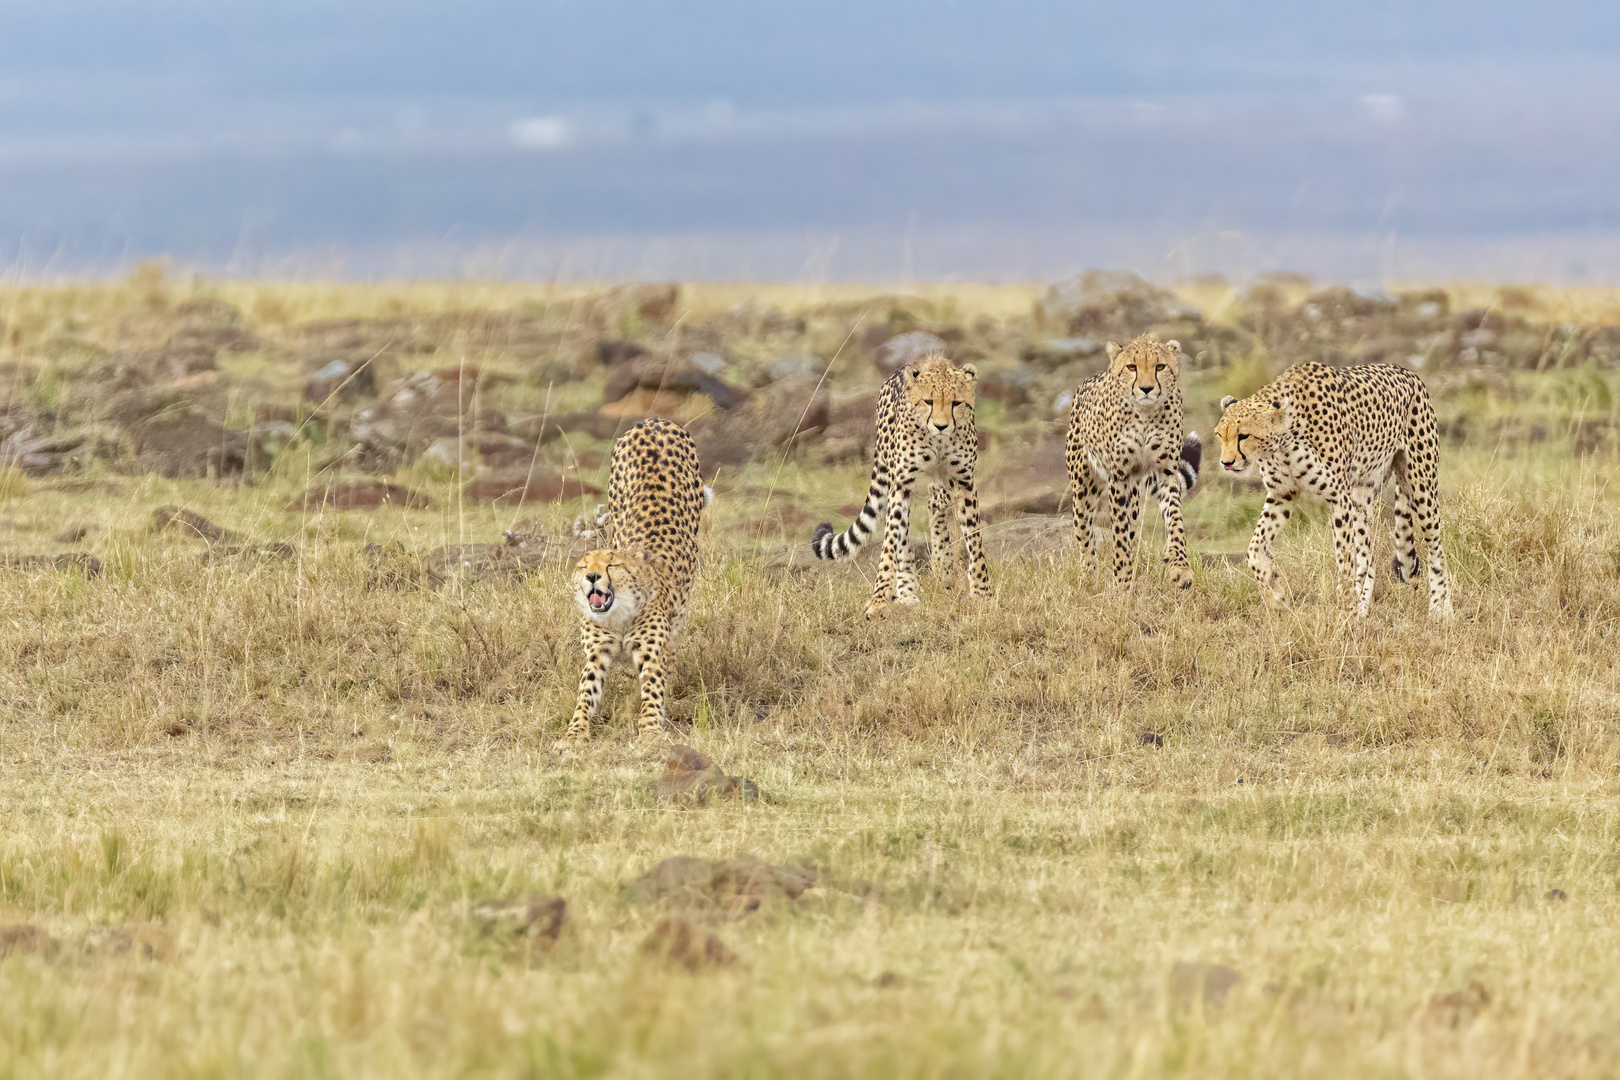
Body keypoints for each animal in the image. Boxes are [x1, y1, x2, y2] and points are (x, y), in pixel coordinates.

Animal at [560, 417, 706, 748]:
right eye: (583, 566)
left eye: (612, 564)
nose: (592, 576)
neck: (619, 616)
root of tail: (654, 421)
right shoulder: (596, 655)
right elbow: (585, 694)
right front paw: (574, 733)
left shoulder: (651, 653)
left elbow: (652, 688)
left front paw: (650, 731)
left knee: (674, 645)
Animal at [806, 354, 984, 615]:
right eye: (928, 401)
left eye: (956, 403)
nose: (941, 426)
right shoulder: (901, 484)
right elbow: (891, 543)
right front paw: (880, 600)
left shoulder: (964, 483)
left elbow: (975, 540)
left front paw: (982, 593)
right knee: (904, 539)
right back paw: (907, 591)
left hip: (941, 484)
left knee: (936, 506)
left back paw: (944, 570)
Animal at [1062, 333, 1205, 592]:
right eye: (1131, 367)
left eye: (1160, 367)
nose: (1146, 389)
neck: (1145, 414)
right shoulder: (1119, 477)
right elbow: (1118, 532)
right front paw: (1122, 582)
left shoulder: (1165, 472)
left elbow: (1175, 521)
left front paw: (1180, 569)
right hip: (1084, 486)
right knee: (1084, 529)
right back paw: (1088, 575)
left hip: (1135, 493)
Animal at [1218, 361, 1458, 615]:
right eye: (1220, 435)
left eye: (1243, 435)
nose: (1226, 462)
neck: (1284, 439)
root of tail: (1408, 372)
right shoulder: (1283, 494)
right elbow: (1254, 548)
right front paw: (1276, 596)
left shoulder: (1338, 496)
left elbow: (1343, 558)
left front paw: (1344, 606)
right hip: (1362, 495)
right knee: (1369, 557)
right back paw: (1361, 610)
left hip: (1421, 485)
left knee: (1436, 548)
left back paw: (1440, 609)